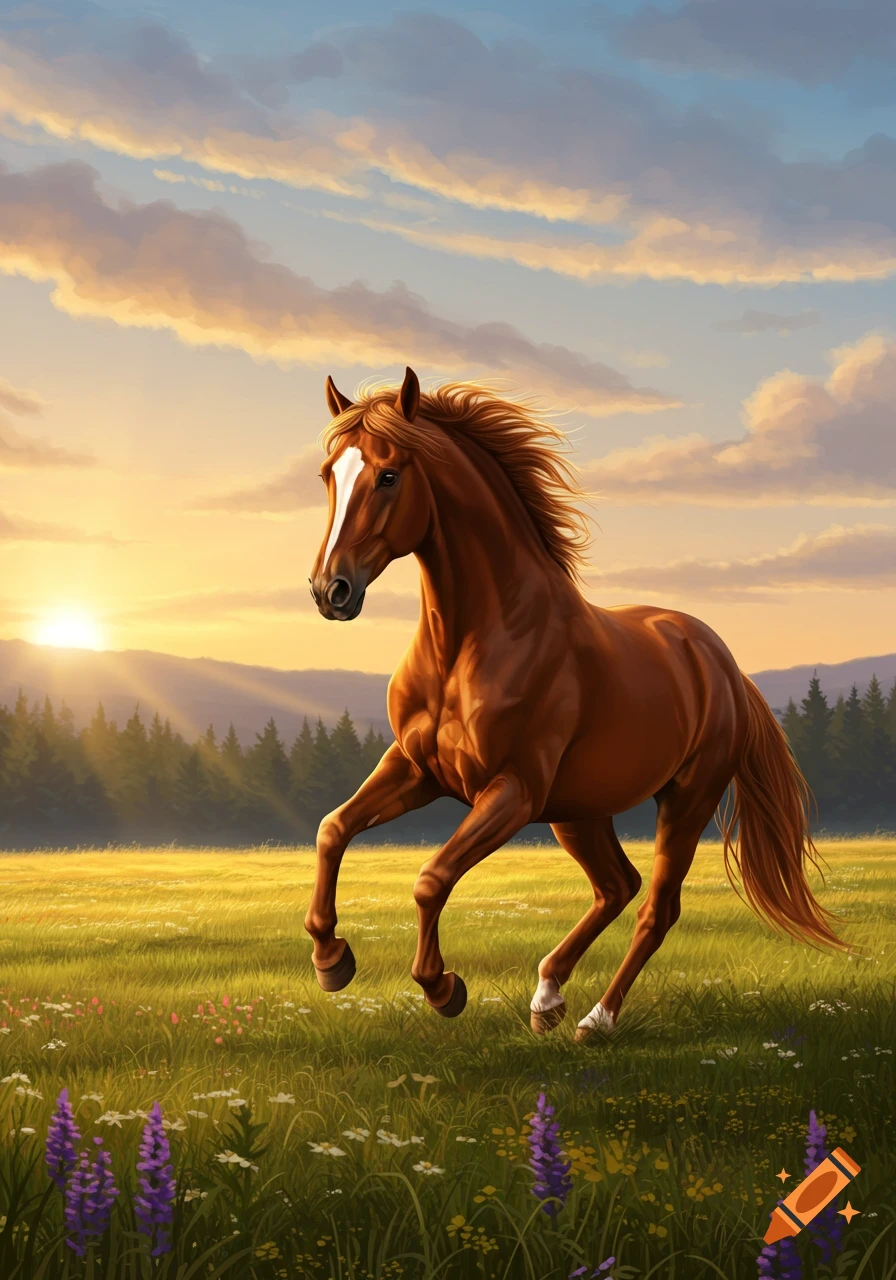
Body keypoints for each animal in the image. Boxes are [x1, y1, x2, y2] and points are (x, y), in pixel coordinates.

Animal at [305, 367, 843, 1041]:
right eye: (328, 474)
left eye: (388, 475)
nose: (330, 590)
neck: (474, 639)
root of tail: (722, 664)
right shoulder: (416, 768)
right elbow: (333, 828)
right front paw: (331, 960)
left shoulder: (512, 791)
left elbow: (431, 879)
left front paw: (443, 988)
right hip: (580, 809)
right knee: (616, 885)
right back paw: (547, 997)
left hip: (686, 799)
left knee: (656, 906)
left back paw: (596, 1019)